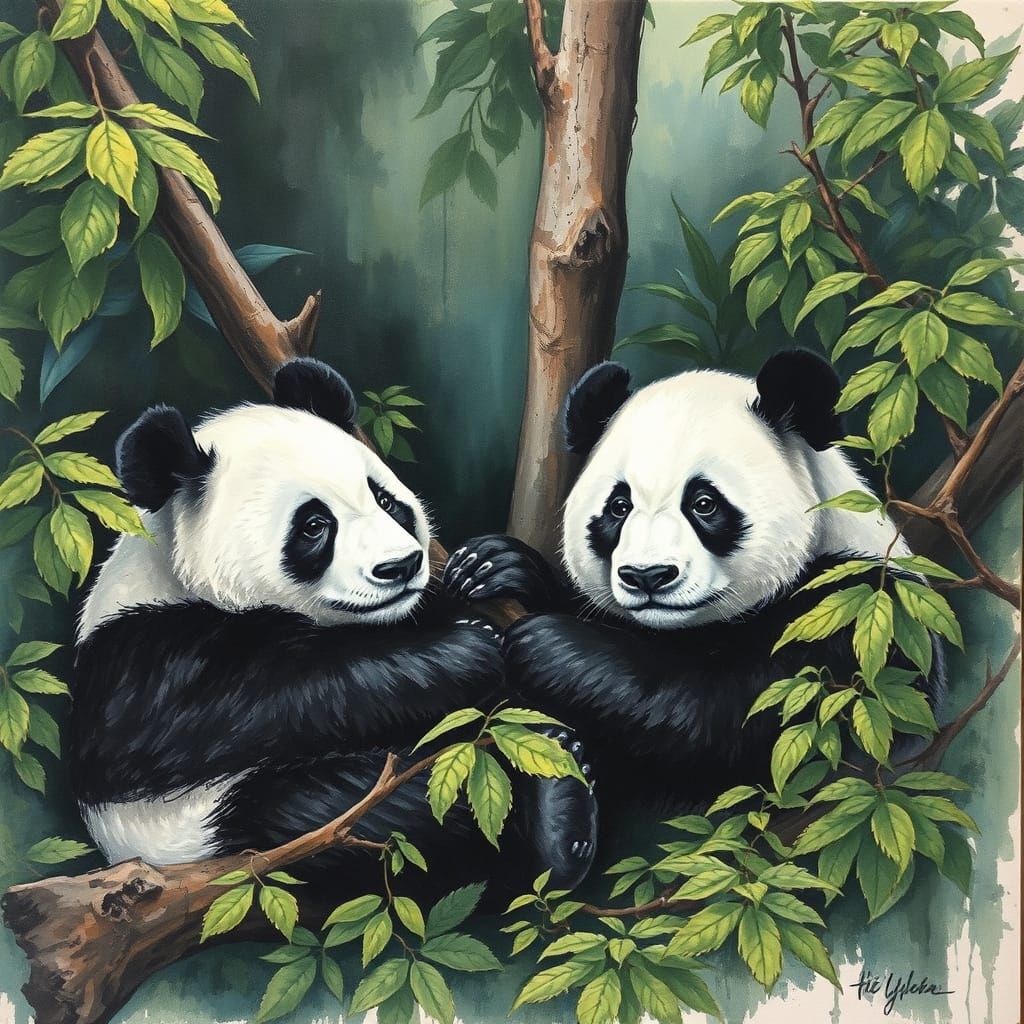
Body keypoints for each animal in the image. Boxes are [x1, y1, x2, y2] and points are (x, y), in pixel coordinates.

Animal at [70, 358, 597, 904]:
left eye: (386, 501)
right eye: (314, 526)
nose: (401, 565)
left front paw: (497, 567)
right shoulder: (142, 655)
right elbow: (254, 695)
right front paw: (463, 652)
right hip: (203, 827)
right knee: (346, 813)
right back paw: (554, 821)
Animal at [444, 350, 945, 852]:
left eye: (704, 503)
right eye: (619, 507)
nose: (647, 575)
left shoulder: (854, 614)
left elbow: (731, 720)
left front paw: (556, 649)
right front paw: (496, 567)